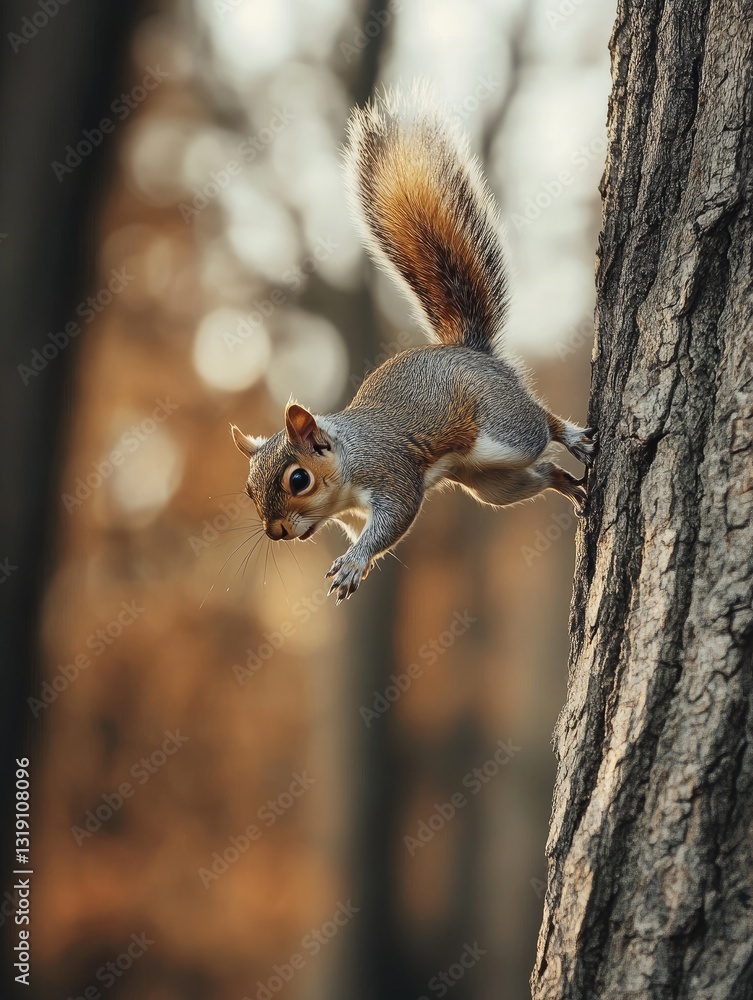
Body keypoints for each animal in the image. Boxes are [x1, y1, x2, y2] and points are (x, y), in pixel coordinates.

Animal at [231, 87, 597, 603]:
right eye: (248, 490)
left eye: (298, 479)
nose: (276, 532)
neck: (346, 468)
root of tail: (470, 351)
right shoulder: (352, 515)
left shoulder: (390, 473)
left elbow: (395, 519)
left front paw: (355, 562)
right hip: (488, 482)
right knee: (540, 474)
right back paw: (566, 484)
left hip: (504, 431)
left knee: (539, 426)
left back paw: (572, 437)